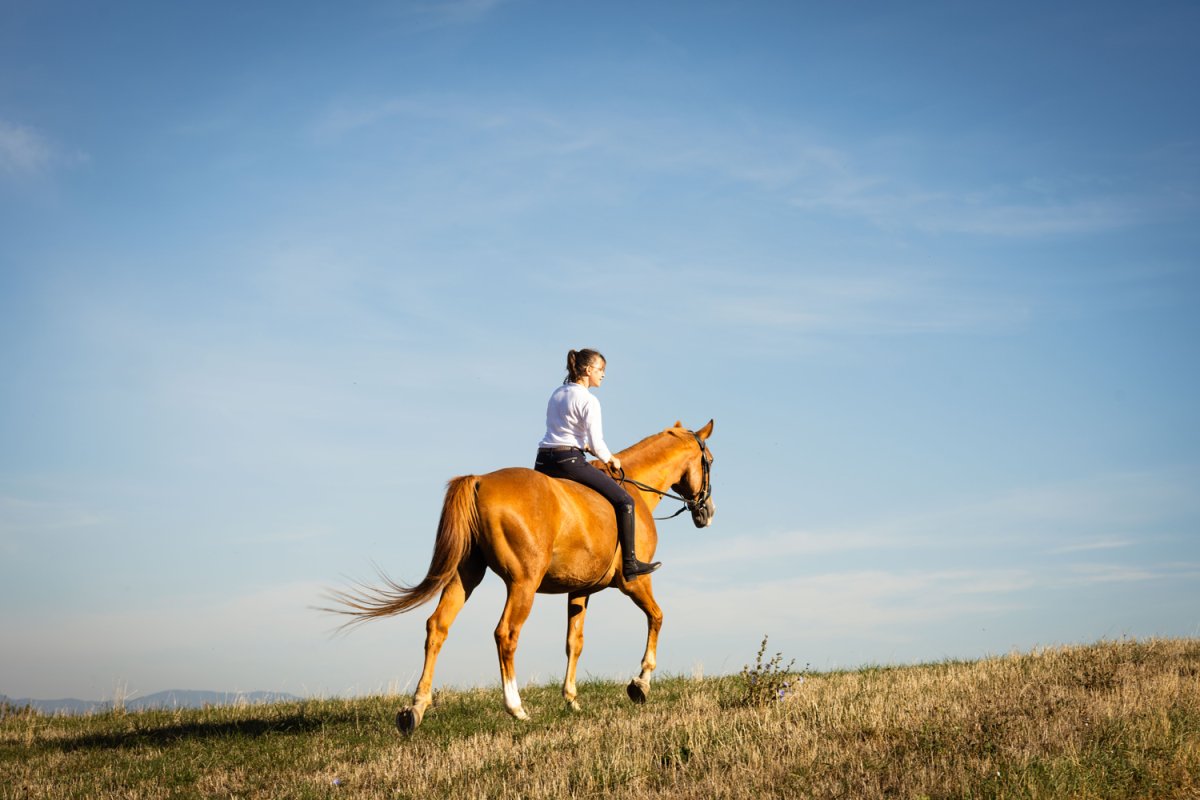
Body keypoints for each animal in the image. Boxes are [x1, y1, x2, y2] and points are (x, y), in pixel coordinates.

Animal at [326, 419, 715, 733]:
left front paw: (571, 699)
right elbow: (657, 617)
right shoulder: (634, 583)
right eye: (709, 460)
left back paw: (415, 710)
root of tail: (480, 481)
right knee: (506, 634)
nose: (706, 512)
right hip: (522, 584)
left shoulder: (580, 591)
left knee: (437, 627)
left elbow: (575, 642)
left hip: (464, 576)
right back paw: (516, 708)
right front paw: (640, 684)